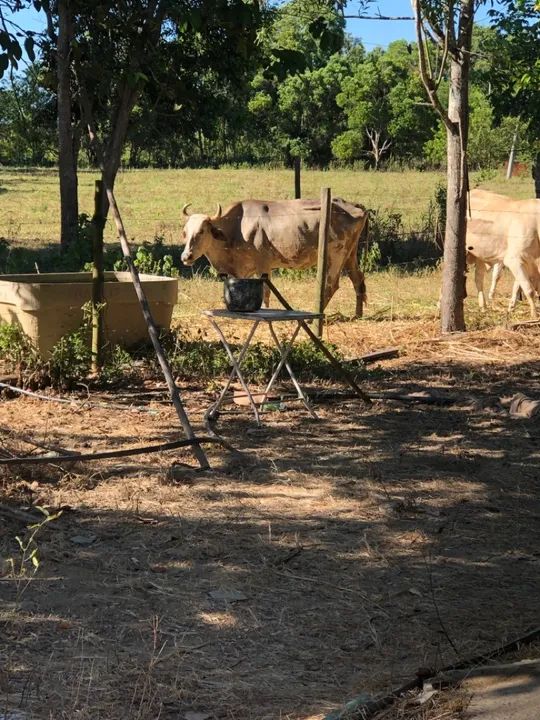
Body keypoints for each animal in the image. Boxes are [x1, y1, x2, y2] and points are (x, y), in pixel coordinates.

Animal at [180, 198, 368, 316]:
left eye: (202, 231)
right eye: (185, 231)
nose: (186, 256)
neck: (237, 227)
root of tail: (355, 207)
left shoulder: (263, 263)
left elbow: (265, 290)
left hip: (336, 255)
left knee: (331, 284)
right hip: (350, 255)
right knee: (358, 279)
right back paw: (358, 314)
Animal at [466, 189, 540, 318]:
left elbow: (517, 285)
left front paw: (511, 307)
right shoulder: (513, 259)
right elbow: (529, 290)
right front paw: (534, 316)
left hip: (481, 257)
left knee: (478, 278)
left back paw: (483, 307)